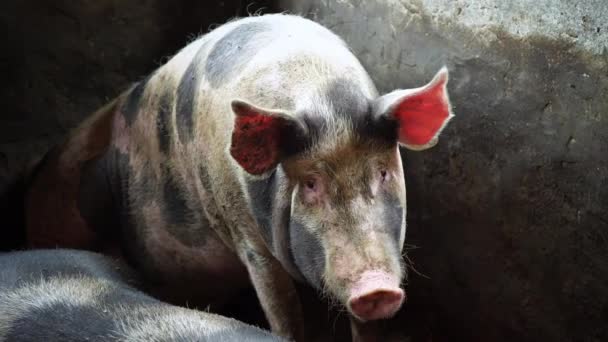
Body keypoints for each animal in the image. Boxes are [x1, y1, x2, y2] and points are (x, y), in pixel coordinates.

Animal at [26, 12, 454, 340]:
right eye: (310, 183)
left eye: (382, 172)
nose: (376, 288)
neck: (321, 98)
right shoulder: (246, 238)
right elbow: (282, 310)